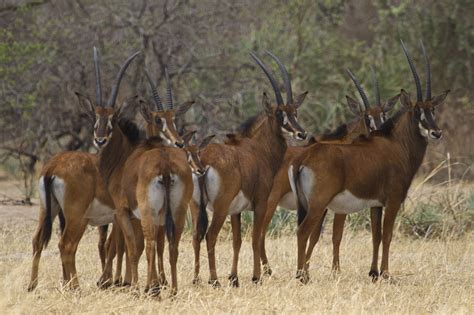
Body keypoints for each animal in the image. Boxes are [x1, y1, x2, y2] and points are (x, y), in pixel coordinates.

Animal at [191, 50, 310, 288]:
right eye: (279, 114)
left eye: (295, 112)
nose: (301, 134)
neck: (258, 149)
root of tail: (204, 159)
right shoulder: (261, 202)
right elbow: (256, 237)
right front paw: (256, 277)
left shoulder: (236, 211)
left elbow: (237, 240)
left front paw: (234, 278)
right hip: (219, 208)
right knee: (210, 236)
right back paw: (214, 280)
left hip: (196, 206)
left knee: (197, 236)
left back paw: (198, 279)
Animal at [258, 66, 398, 276]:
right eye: (367, 117)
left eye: (384, 115)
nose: (379, 133)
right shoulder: (336, 205)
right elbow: (334, 235)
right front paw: (335, 271)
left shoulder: (324, 205)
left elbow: (316, 236)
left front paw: (308, 268)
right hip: (271, 201)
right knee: (260, 231)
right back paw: (267, 270)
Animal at [290, 40, 450, 284]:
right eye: (416, 111)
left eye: (432, 109)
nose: (436, 132)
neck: (396, 144)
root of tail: (304, 157)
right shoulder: (393, 200)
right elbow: (388, 234)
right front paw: (386, 274)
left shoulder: (376, 204)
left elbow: (376, 235)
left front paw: (373, 272)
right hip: (318, 204)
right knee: (303, 232)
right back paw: (302, 276)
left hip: (306, 204)